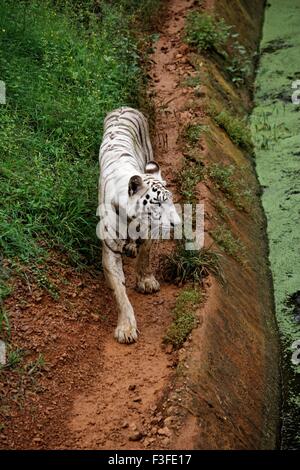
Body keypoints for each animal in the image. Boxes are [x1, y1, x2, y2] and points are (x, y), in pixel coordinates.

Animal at [98, 106, 180, 344]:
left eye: (170, 200)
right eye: (157, 202)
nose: (177, 223)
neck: (130, 217)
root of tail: (123, 107)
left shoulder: (149, 230)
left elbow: (146, 255)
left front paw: (146, 281)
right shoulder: (110, 249)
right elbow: (120, 291)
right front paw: (126, 328)